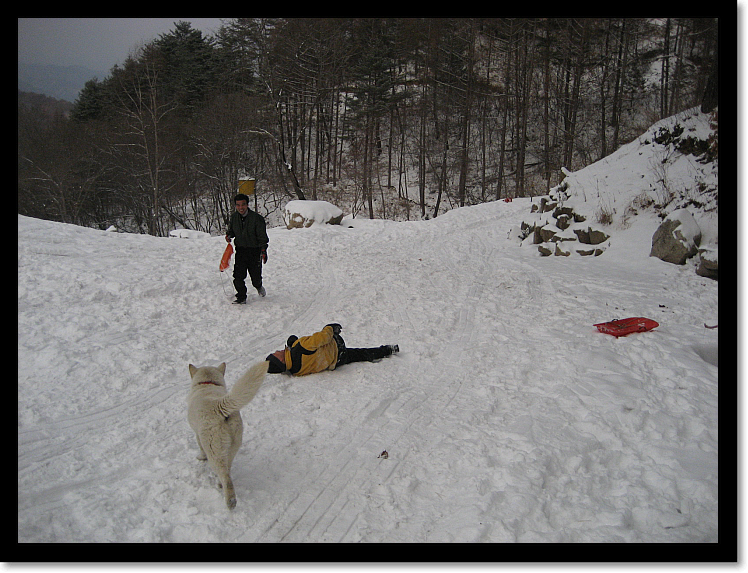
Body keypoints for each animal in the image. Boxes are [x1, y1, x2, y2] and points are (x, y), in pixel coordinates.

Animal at [187, 360, 268, 508]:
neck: (207, 383)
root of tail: (218, 406)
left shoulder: (197, 434)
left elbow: (200, 448)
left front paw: (201, 457)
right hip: (233, 445)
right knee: (228, 469)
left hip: (214, 452)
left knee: (225, 476)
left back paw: (230, 501)